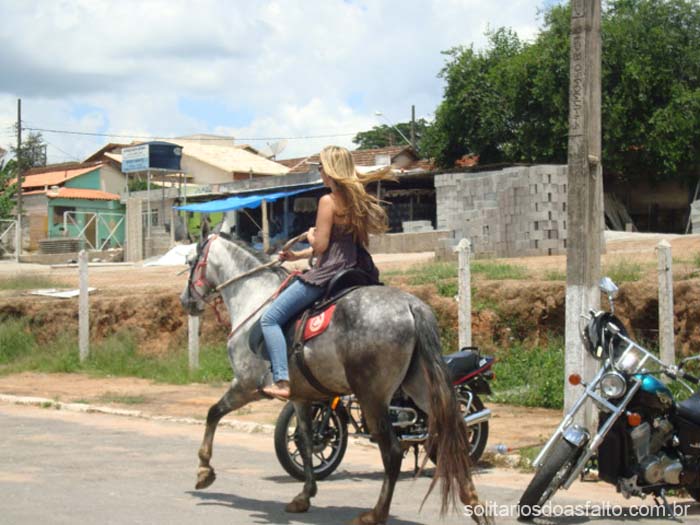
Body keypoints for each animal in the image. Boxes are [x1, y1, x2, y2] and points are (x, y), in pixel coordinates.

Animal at [180, 225, 486, 524]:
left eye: (191, 261)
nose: (185, 301)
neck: (255, 297)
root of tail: (413, 308)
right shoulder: (302, 397)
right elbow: (305, 442)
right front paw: (305, 495)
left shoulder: (245, 385)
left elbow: (213, 413)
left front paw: (204, 470)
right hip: (421, 389)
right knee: (453, 437)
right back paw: (474, 503)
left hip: (373, 398)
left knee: (393, 452)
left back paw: (376, 514)